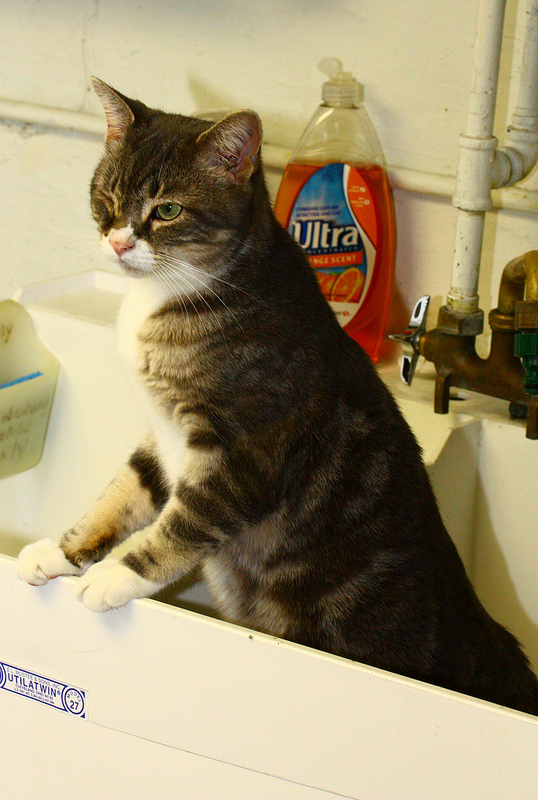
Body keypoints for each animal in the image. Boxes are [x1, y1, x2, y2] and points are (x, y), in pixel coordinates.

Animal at [16, 78, 536, 716]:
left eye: (168, 211)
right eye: (106, 195)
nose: (117, 242)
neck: (186, 292)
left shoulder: (244, 451)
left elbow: (187, 521)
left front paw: (117, 576)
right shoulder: (163, 436)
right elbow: (122, 493)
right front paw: (62, 552)